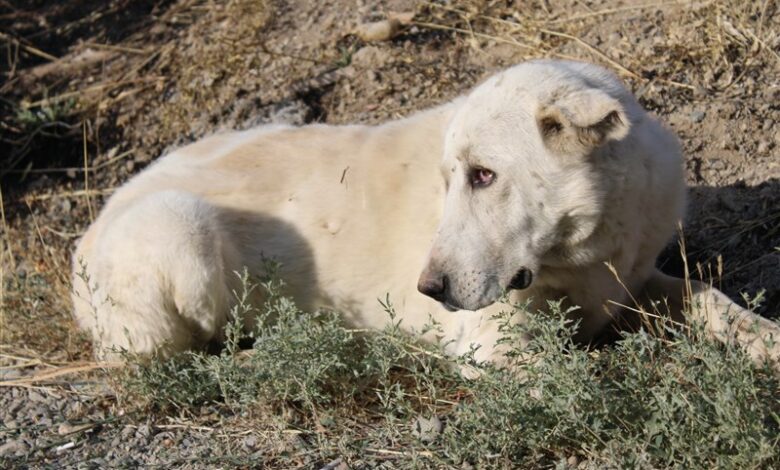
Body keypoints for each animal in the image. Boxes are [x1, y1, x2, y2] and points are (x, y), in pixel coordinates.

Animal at [70, 58, 776, 366]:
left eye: (484, 175)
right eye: (451, 181)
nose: (428, 289)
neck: (587, 247)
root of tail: (87, 229)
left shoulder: (633, 277)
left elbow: (710, 297)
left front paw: (763, 341)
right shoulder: (495, 342)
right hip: (179, 229)